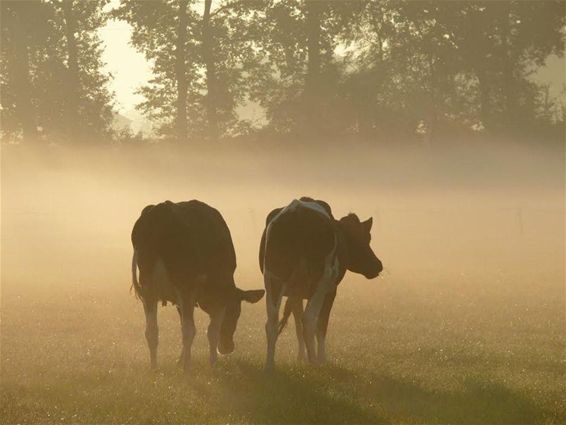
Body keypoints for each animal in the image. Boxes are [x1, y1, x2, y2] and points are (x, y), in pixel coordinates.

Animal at [131, 200, 266, 372]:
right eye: (236, 313)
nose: (227, 348)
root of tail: (162, 209)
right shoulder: (219, 296)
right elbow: (211, 331)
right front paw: (213, 364)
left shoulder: (181, 301)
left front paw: (180, 360)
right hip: (183, 287)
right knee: (188, 330)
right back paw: (187, 368)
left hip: (148, 288)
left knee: (152, 330)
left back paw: (154, 367)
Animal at [260, 197, 384, 370]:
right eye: (366, 238)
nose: (377, 265)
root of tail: (298, 210)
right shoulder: (331, 291)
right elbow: (321, 325)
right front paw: (321, 359)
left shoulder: (295, 293)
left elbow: (297, 325)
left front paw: (301, 358)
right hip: (320, 282)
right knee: (309, 319)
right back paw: (315, 364)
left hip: (273, 277)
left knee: (272, 322)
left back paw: (270, 365)